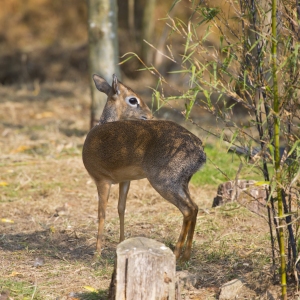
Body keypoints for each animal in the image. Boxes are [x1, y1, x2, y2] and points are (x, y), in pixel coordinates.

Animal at [82, 73, 206, 260]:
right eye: (133, 99)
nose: (149, 114)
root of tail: (200, 151)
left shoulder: (101, 179)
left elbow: (101, 213)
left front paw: (96, 254)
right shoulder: (124, 180)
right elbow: (121, 208)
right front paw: (120, 244)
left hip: (164, 181)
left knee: (188, 209)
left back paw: (176, 254)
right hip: (182, 182)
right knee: (195, 207)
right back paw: (185, 256)